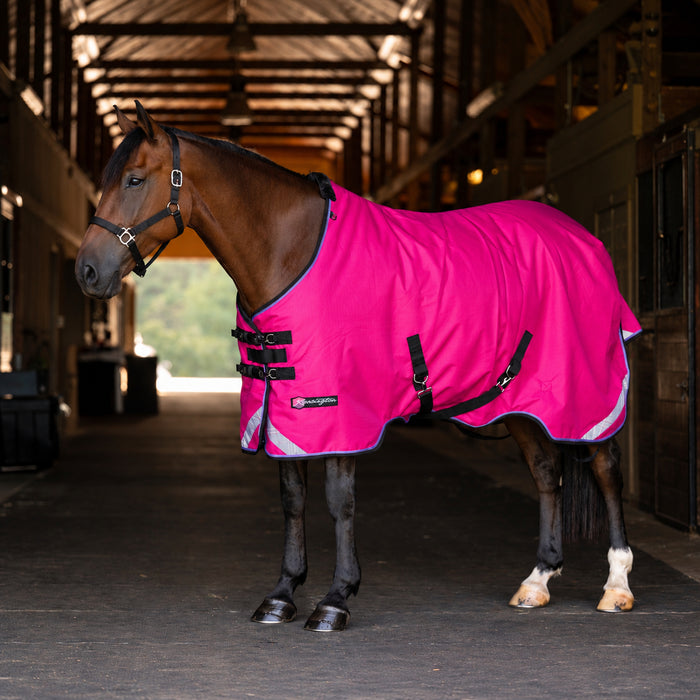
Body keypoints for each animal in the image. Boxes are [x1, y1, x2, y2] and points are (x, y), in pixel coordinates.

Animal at [76, 101, 640, 632]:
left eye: (133, 179)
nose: (87, 271)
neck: (293, 251)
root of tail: (581, 237)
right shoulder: (283, 408)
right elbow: (293, 498)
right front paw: (282, 595)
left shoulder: (338, 409)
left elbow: (338, 500)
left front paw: (335, 600)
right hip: (520, 397)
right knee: (546, 471)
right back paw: (537, 580)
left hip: (587, 391)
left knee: (606, 468)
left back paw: (616, 586)